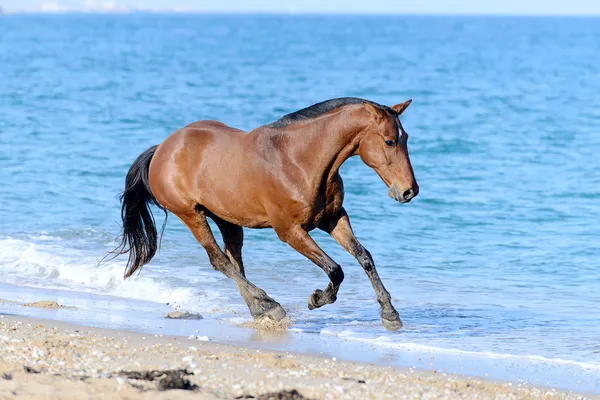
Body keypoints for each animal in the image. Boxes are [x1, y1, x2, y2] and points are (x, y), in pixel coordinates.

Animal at [109, 97, 418, 332]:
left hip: (226, 218)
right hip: (191, 215)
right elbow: (335, 269)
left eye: (405, 138)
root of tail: (162, 149)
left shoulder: (333, 219)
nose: (409, 191)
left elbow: (364, 257)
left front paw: (390, 314)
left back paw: (260, 310)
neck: (299, 160)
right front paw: (317, 299)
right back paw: (270, 305)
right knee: (220, 261)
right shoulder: (290, 231)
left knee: (234, 260)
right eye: (389, 142)